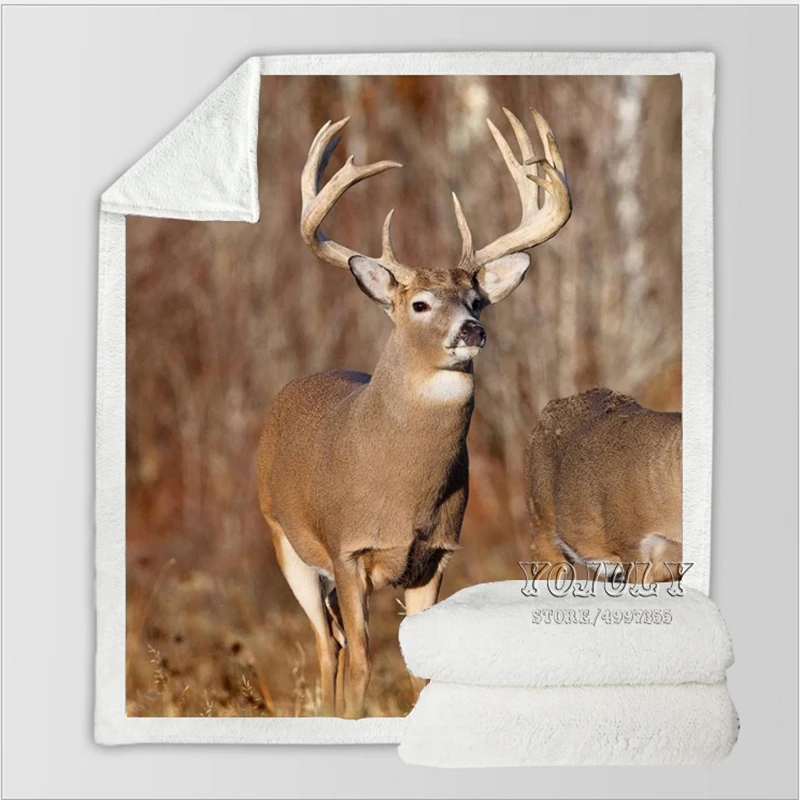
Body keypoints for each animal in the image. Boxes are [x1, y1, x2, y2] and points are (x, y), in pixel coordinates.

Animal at [256, 108, 571, 719]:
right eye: (420, 304)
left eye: (477, 301)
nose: (471, 331)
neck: (402, 493)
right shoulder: (348, 548)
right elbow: (361, 663)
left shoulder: (436, 555)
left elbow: (422, 665)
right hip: (285, 541)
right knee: (327, 646)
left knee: (330, 640)